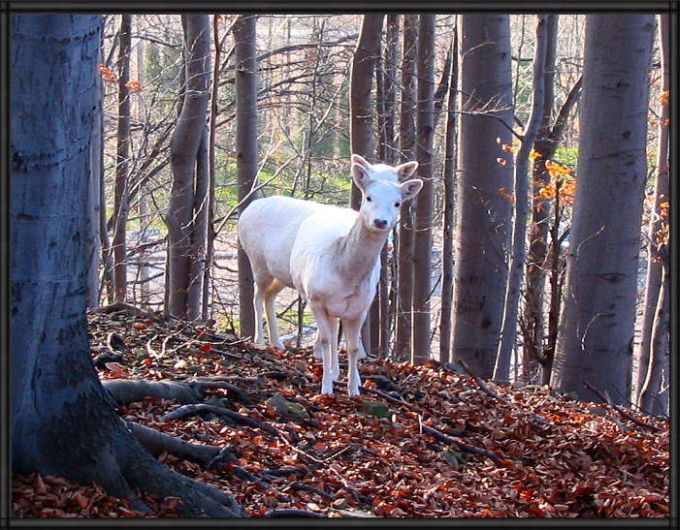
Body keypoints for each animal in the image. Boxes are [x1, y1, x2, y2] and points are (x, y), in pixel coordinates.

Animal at [238, 153, 420, 392]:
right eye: (368, 197)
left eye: (397, 202)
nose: (381, 221)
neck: (345, 272)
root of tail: (247, 210)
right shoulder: (316, 298)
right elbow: (327, 339)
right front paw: (326, 379)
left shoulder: (359, 305)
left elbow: (348, 343)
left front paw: (353, 381)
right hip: (257, 260)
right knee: (258, 295)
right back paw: (260, 341)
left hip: (282, 274)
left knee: (270, 296)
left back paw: (278, 343)